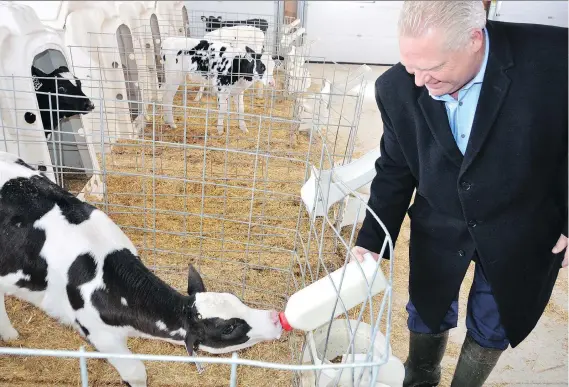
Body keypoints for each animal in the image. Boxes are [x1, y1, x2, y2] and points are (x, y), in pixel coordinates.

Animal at [0, 152, 282, 387]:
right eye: (228, 329)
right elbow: (137, 372)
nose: (275, 318)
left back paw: (10, 335)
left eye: (237, 299)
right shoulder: (100, 335)